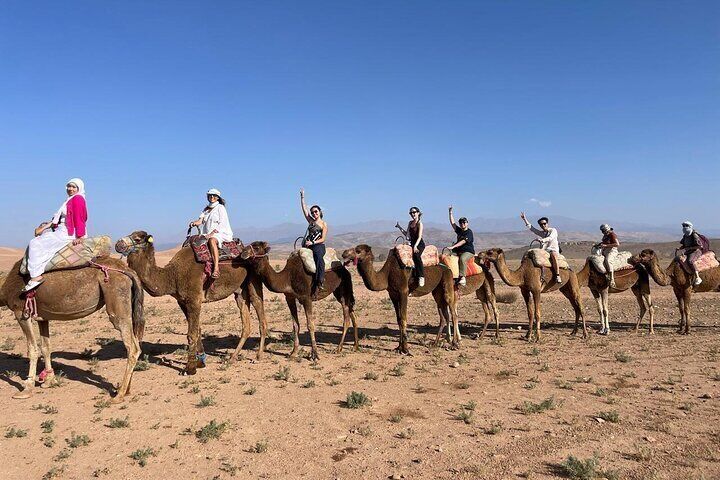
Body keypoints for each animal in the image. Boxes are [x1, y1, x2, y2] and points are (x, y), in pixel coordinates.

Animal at [0, 257, 144, 402]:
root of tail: (129, 271)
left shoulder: (21, 312)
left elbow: (32, 349)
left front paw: (27, 388)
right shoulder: (43, 317)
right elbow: (46, 348)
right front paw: (49, 381)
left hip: (116, 297)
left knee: (132, 347)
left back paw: (119, 395)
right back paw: (126, 390)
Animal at [115, 231, 266, 375]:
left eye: (137, 239)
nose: (118, 244)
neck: (173, 275)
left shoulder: (194, 299)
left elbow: (191, 334)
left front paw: (190, 368)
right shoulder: (182, 302)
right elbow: (197, 330)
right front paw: (200, 362)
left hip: (253, 278)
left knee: (259, 308)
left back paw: (258, 356)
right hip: (239, 291)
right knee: (246, 322)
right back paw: (233, 358)